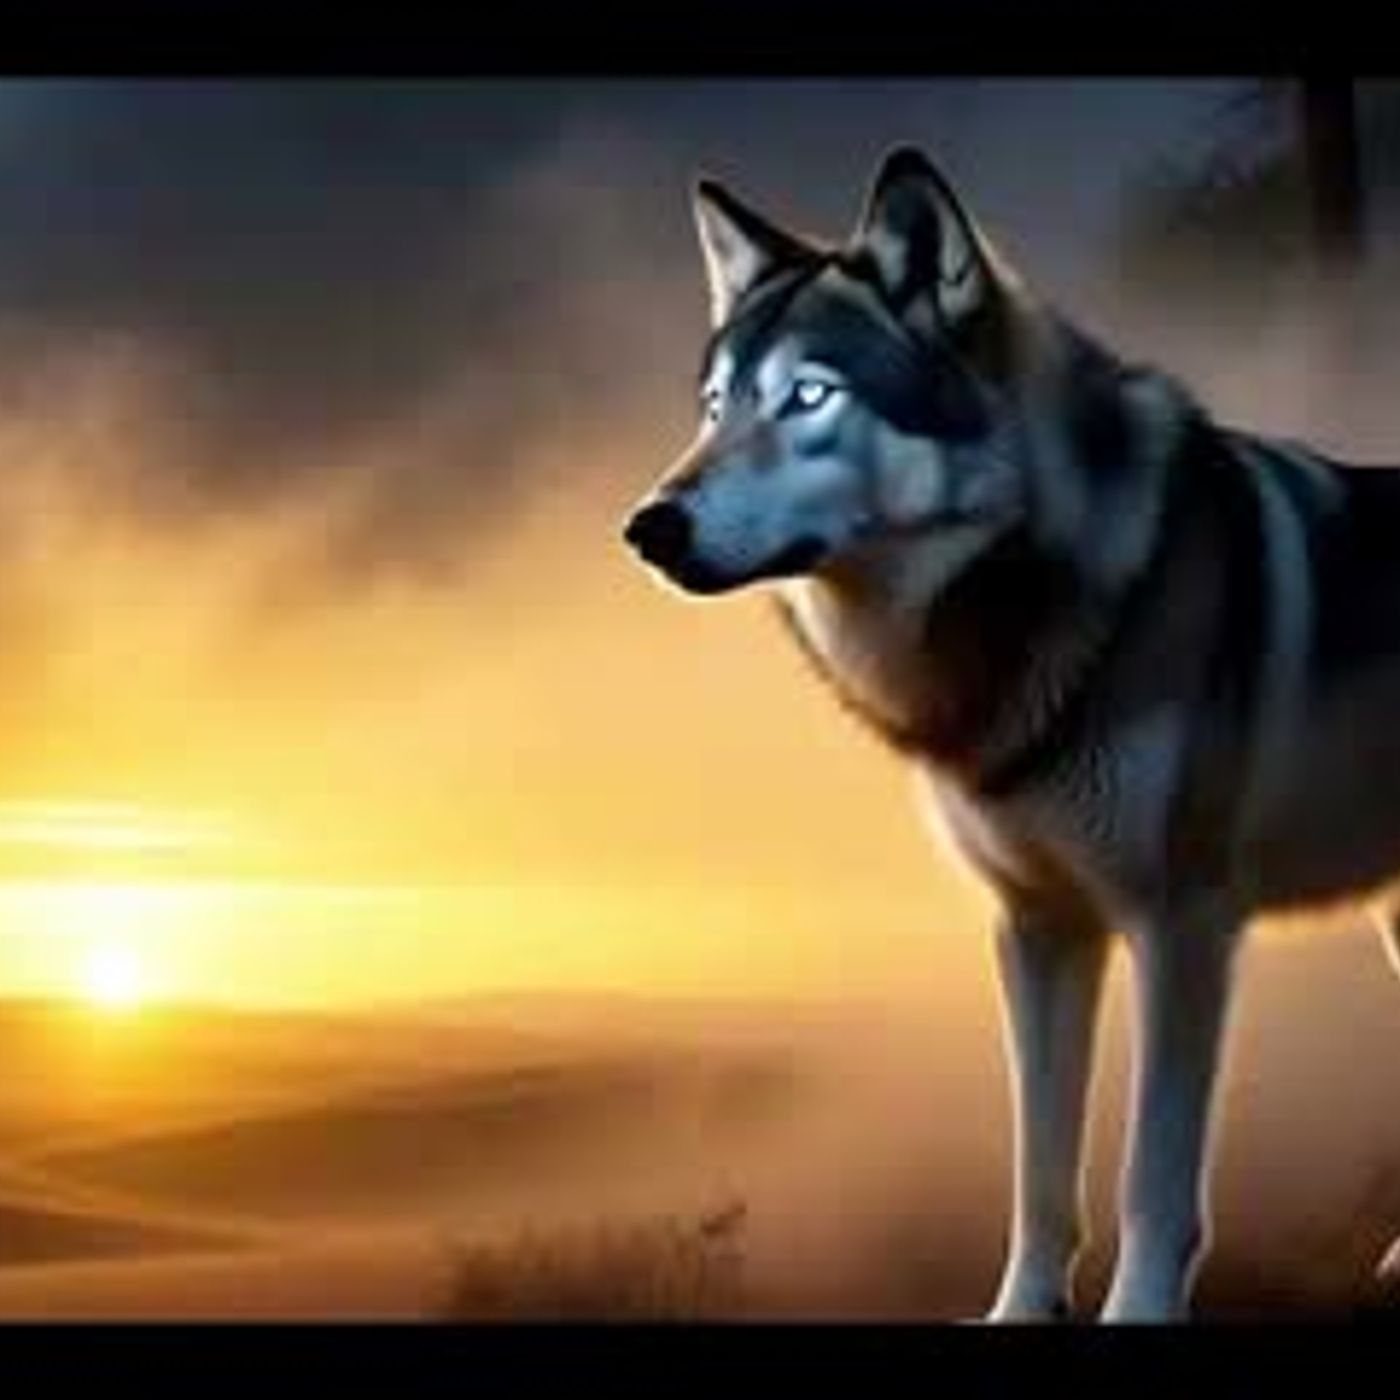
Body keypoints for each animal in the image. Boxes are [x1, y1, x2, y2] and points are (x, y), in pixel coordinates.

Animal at [621, 144, 1400, 1322]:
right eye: (714, 407)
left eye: (810, 395)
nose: (647, 525)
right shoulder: (1036, 926)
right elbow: (1039, 1170)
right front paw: (1020, 1310)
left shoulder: (1181, 926)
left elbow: (1150, 1179)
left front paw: (1136, 1314)